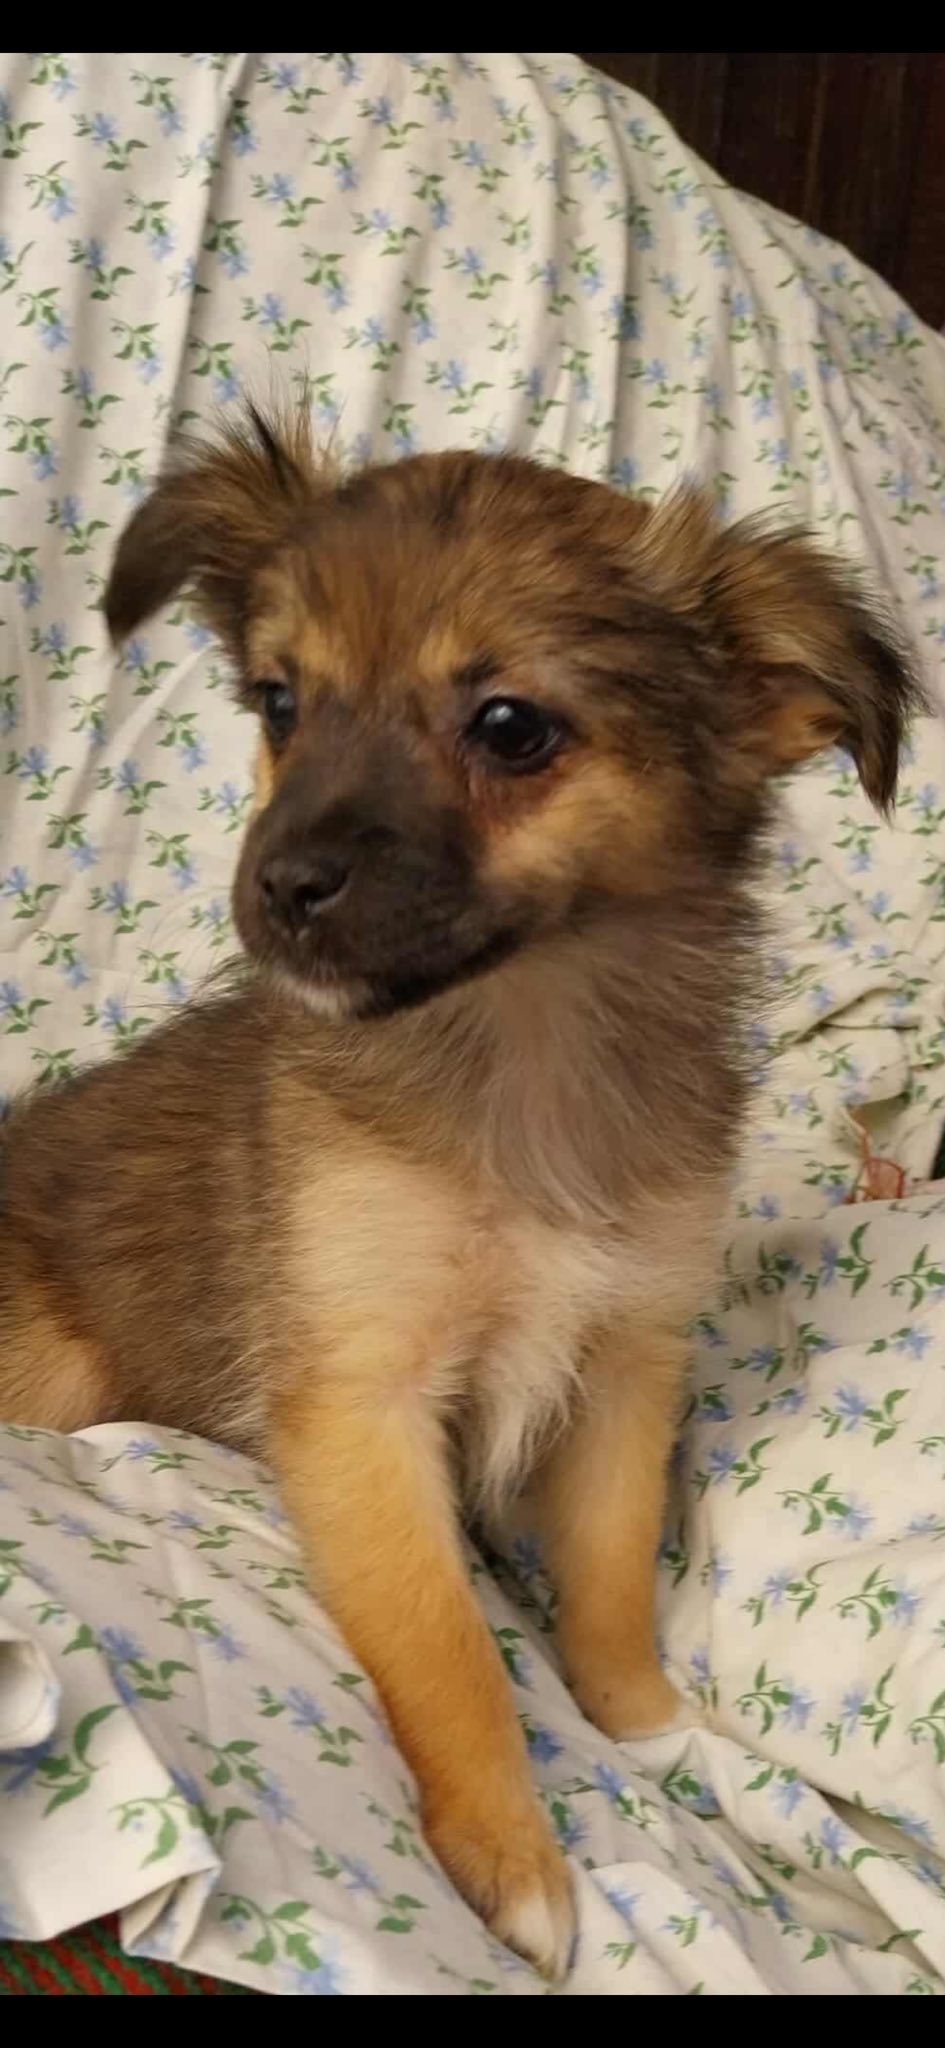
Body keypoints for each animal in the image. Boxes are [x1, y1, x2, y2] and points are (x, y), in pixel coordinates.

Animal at [0, 405, 916, 1976]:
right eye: (280, 702)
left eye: (508, 727)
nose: (282, 883)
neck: (523, 1040)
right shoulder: (360, 1400)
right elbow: (447, 1649)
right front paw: (511, 1858)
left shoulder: (622, 1355)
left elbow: (609, 1574)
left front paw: (644, 1720)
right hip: (53, 1366)